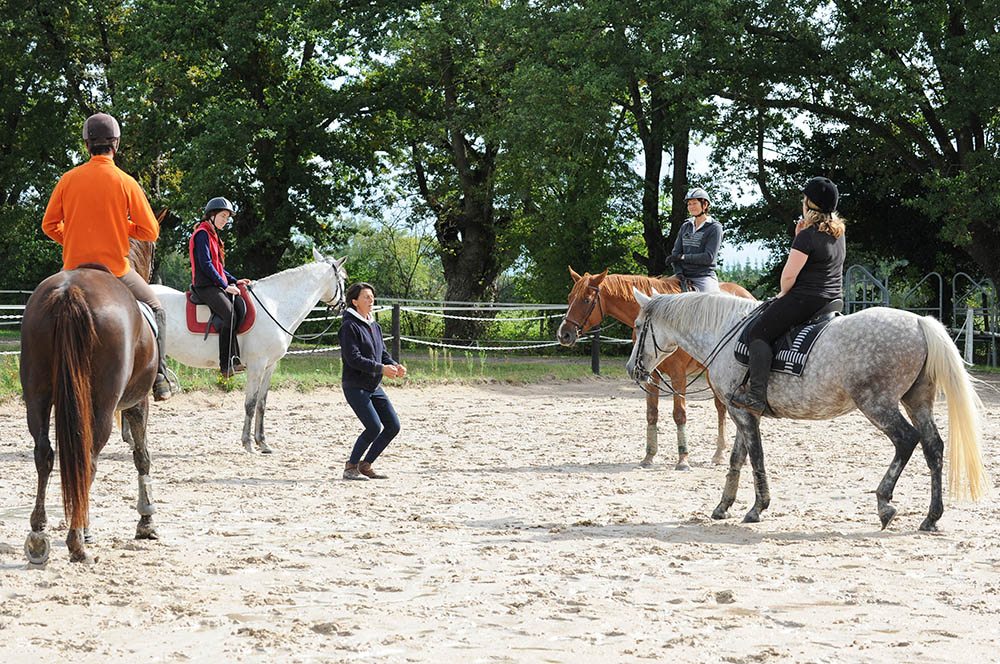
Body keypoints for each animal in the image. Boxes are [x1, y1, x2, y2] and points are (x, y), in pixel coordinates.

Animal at [19, 237, 161, 560]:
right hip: (102, 406)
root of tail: (69, 291)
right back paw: (77, 539)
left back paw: (38, 533)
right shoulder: (138, 402)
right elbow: (142, 457)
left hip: (37, 395)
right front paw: (146, 521)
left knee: (44, 454)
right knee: (89, 460)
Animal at [152, 246, 348, 454]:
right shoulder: (256, 365)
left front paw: (263, 443)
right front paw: (248, 443)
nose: (343, 306)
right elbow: (250, 404)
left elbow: (262, 404)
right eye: (343, 279)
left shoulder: (269, 366)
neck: (274, 305)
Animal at [560, 268, 752, 470]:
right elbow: (652, 413)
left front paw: (683, 459)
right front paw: (648, 457)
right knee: (722, 408)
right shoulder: (650, 373)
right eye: (570, 297)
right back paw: (720, 453)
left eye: (586, 300)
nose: (563, 334)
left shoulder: (678, 375)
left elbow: (679, 414)